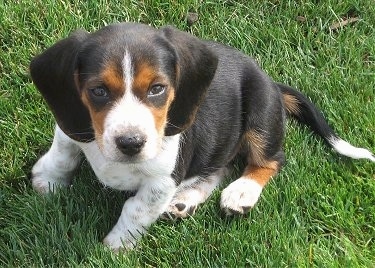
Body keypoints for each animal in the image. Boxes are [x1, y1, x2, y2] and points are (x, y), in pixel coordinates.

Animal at [30, 23, 375, 251]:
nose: (130, 143)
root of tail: (273, 85)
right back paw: (185, 201)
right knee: (218, 167)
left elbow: (135, 209)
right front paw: (46, 181)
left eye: (157, 89)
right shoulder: (72, 128)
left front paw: (115, 246)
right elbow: (63, 154)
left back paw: (241, 193)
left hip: (260, 111)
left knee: (270, 161)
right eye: (98, 91)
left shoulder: (161, 181)